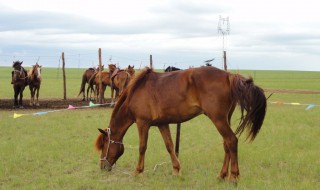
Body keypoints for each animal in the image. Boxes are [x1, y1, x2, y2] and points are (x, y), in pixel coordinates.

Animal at [95, 66, 268, 183]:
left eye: (104, 144)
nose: (102, 167)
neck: (136, 92)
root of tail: (229, 76)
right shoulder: (162, 124)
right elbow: (170, 146)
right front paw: (176, 170)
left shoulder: (142, 123)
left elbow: (142, 147)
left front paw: (137, 171)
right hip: (225, 119)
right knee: (227, 144)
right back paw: (221, 175)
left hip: (218, 119)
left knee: (232, 141)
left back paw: (233, 177)